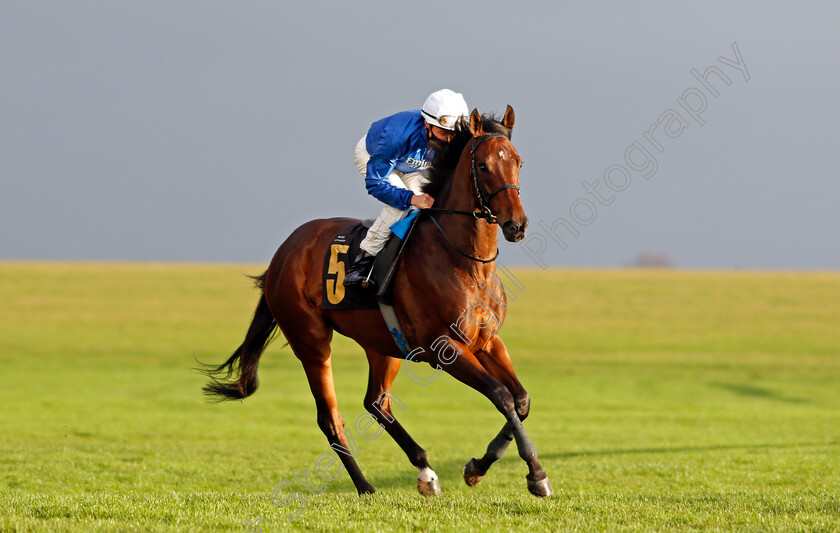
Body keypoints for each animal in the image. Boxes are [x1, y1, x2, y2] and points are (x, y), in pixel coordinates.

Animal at [201, 107, 556, 498]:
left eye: (518, 162)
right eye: (483, 165)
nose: (516, 225)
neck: (465, 261)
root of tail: (284, 251)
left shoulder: (488, 341)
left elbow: (521, 400)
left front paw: (479, 466)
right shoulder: (444, 348)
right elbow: (501, 395)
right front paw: (535, 474)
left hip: (383, 345)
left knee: (376, 402)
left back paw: (425, 471)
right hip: (311, 341)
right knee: (330, 418)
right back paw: (365, 486)